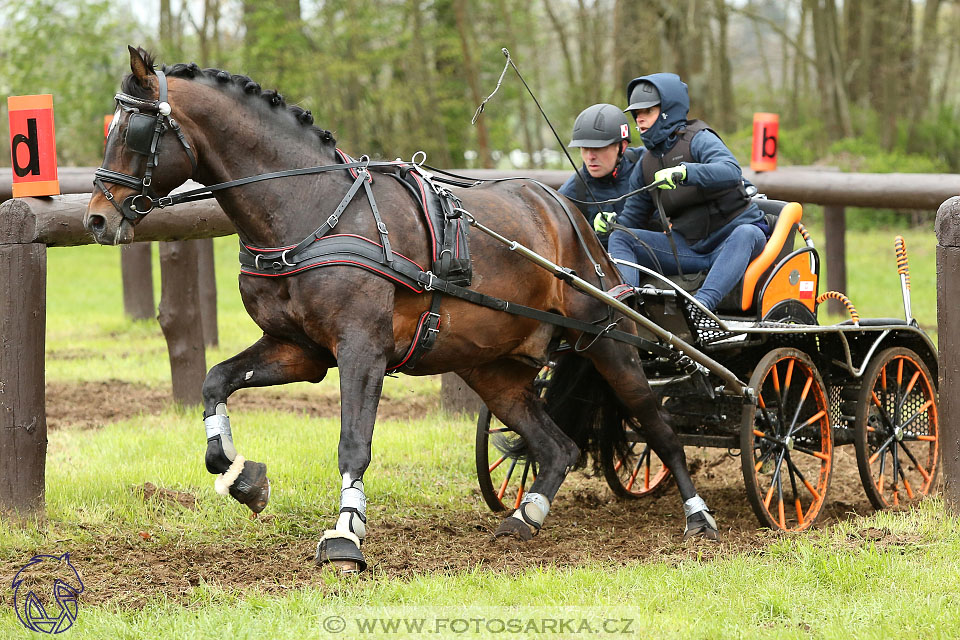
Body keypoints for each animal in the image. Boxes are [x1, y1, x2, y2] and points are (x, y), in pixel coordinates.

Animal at [84, 47, 720, 572]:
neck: (312, 210)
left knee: (658, 426)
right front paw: (244, 479)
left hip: (606, 339)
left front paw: (345, 535)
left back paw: (698, 518)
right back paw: (525, 516)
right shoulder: (298, 350)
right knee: (556, 446)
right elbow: (215, 382)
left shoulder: (361, 350)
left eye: (134, 130)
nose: (96, 218)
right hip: (494, 368)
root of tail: (568, 212)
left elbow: (353, 442)